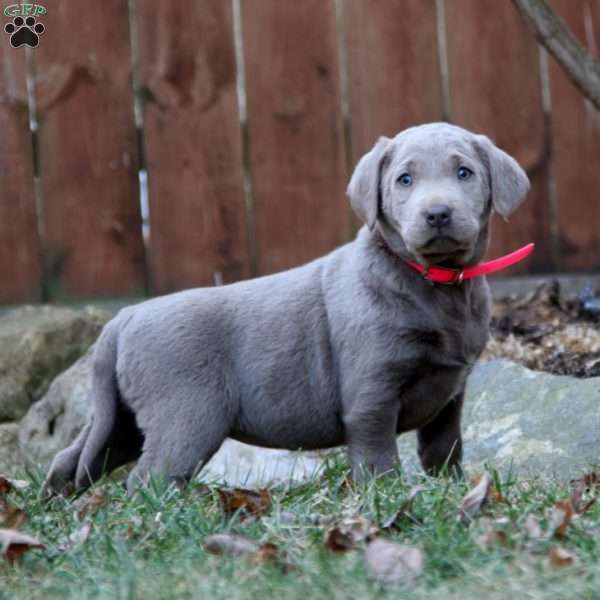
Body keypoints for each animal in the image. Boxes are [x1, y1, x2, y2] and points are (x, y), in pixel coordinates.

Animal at [43, 119, 528, 494]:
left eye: (464, 172)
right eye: (404, 180)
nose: (438, 214)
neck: (436, 283)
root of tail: (124, 316)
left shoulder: (450, 394)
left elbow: (444, 448)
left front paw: (451, 490)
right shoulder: (371, 392)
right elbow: (377, 458)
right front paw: (388, 498)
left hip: (120, 418)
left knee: (73, 458)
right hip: (185, 415)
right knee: (148, 478)